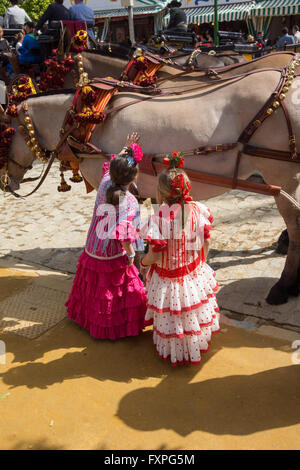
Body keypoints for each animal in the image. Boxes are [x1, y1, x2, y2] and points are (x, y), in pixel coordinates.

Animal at [2, 67, 300, 308]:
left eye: (5, 132)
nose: (7, 184)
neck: (86, 119)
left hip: (284, 178)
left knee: (295, 226)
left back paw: (284, 285)